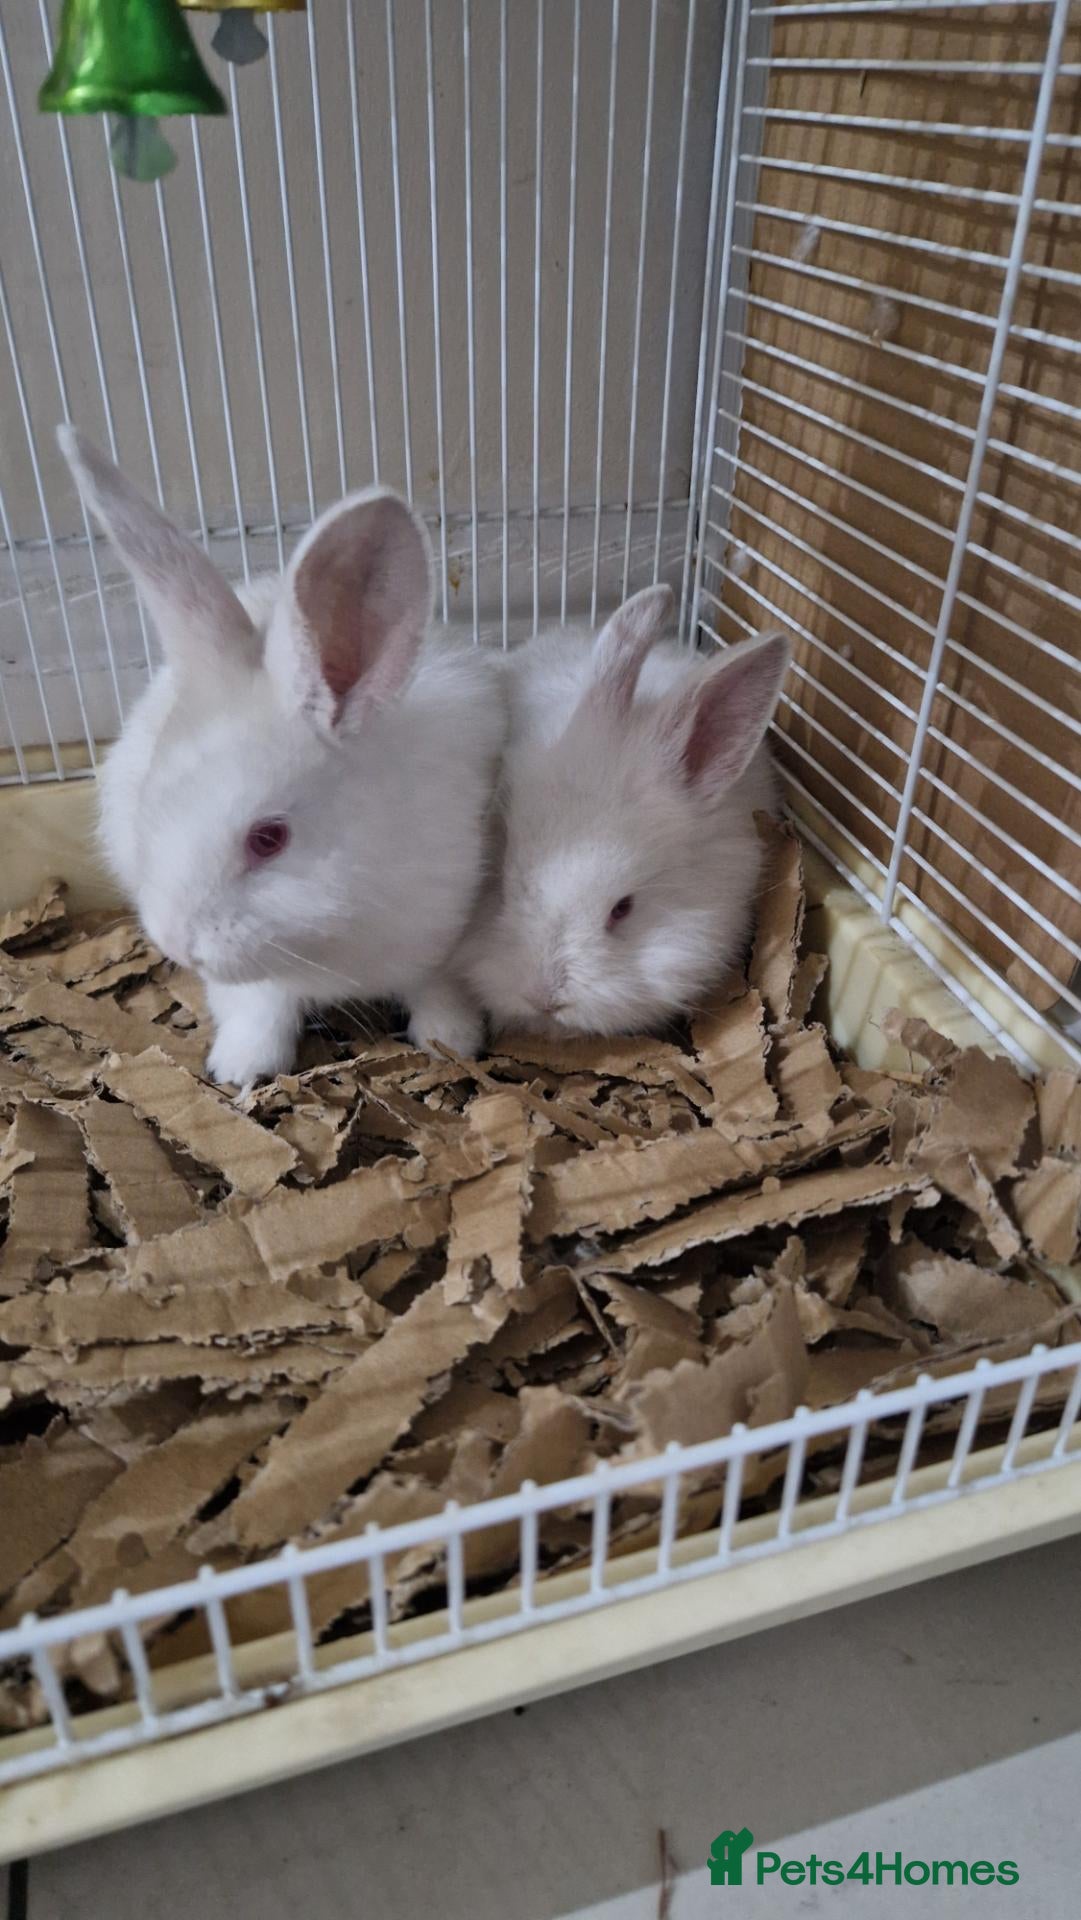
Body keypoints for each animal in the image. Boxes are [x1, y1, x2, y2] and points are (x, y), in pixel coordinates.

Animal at [59, 426, 506, 1085]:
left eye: (269, 839)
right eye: (151, 810)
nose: (177, 943)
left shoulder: (446, 929)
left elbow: (440, 988)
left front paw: (451, 1041)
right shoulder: (253, 983)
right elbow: (260, 1009)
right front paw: (238, 1070)